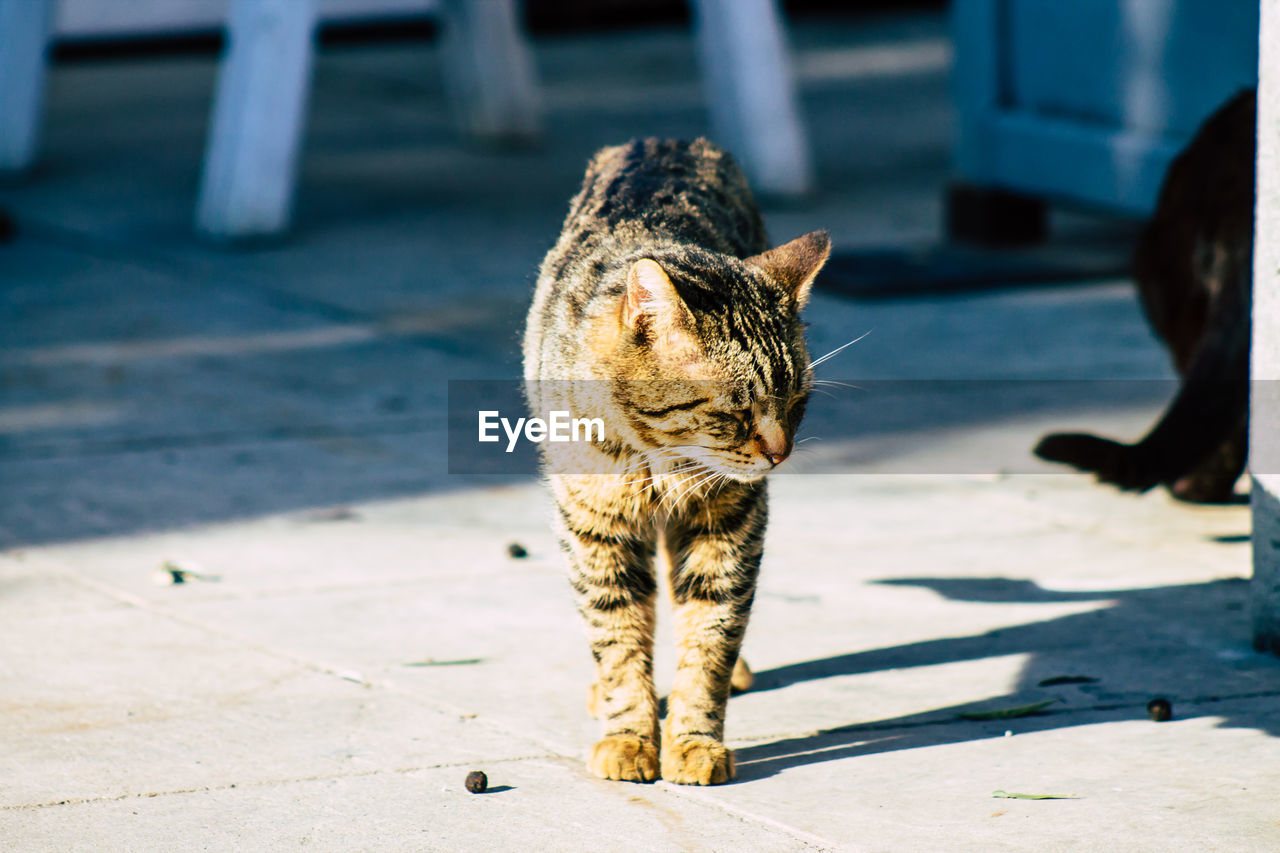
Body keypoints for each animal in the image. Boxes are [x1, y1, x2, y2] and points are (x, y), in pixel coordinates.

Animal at [522, 139, 829, 783]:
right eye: (735, 410)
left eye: (797, 402)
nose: (779, 453)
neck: (660, 457)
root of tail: (666, 140)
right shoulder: (595, 527)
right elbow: (616, 634)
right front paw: (629, 735)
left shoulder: (730, 521)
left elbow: (710, 635)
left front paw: (693, 740)